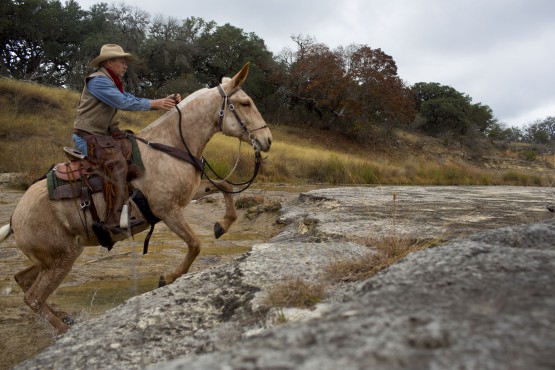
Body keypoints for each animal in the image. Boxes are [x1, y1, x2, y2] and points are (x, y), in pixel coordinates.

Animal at [0, 62, 272, 334]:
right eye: (245, 103)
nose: (267, 140)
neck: (171, 144)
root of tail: (15, 218)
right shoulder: (167, 210)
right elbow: (195, 244)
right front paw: (167, 278)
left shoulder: (187, 195)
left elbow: (224, 186)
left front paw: (221, 225)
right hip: (61, 259)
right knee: (34, 297)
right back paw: (64, 330)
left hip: (55, 258)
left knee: (23, 280)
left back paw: (63, 316)